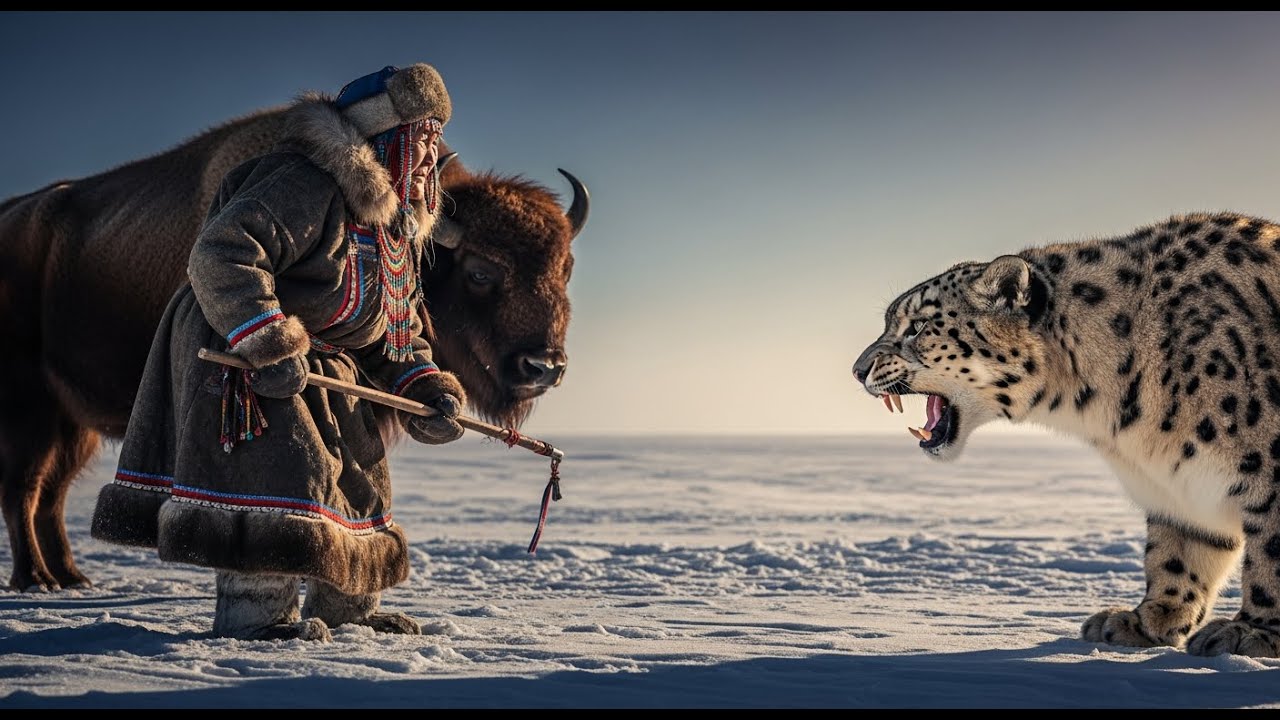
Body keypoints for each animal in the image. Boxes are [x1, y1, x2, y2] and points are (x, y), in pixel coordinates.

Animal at [852, 211, 1280, 657]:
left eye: (918, 326)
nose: (857, 369)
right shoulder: (1178, 485)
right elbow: (1177, 552)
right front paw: (1146, 620)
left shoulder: (1268, 470)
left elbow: (1270, 554)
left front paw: (1254, 632)